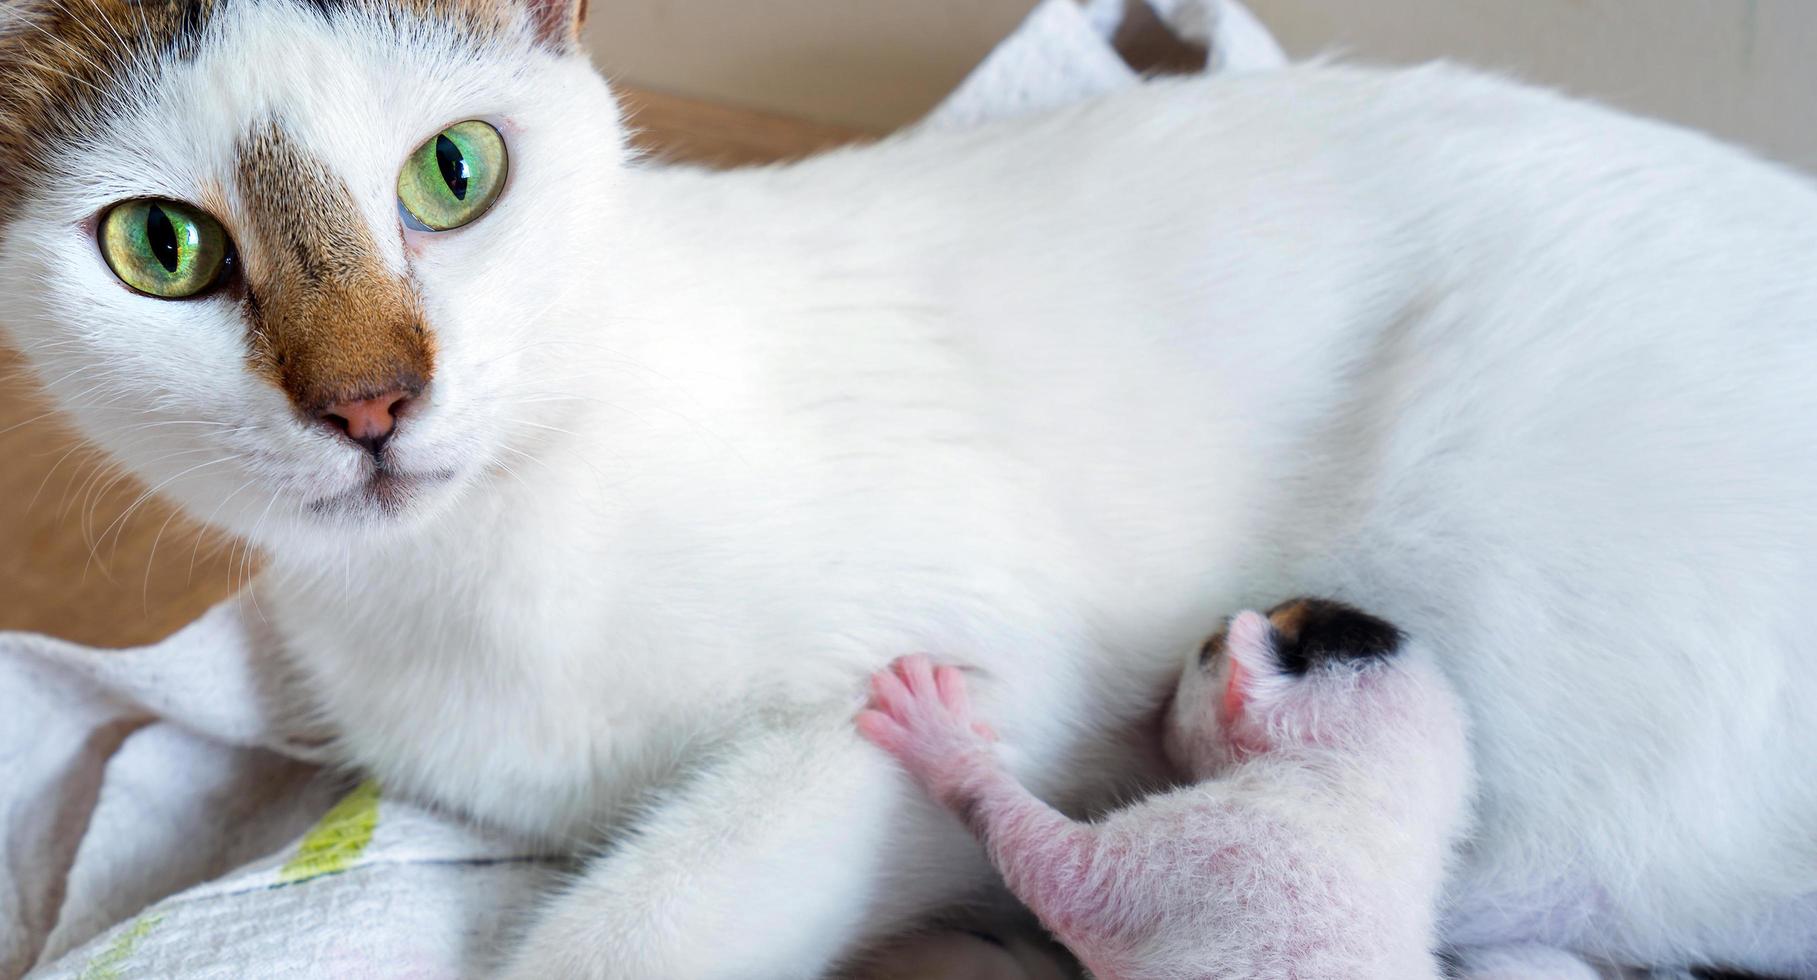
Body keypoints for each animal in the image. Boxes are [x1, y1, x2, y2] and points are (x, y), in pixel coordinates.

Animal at [857, 600, 1468, 980]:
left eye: (1206, 649)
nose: (1160, 701)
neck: (1375, 797)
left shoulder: (1219, 845)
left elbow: (1066, 876)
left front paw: (942, 740)